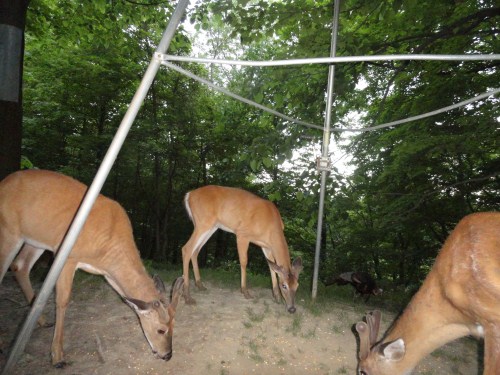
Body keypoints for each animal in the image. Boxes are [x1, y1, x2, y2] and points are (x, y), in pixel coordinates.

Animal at [0, 171, 184, 370]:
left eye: (175, 325)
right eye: (161, 330)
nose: (168, 355)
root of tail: (4, 182)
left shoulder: (107, 273)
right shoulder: (67, 256)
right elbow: (62, 301)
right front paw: (57, 357)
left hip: (35, 239)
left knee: (20, 266)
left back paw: (41, 321)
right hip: (8, 230)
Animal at [182, 186, 302, 314]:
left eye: (297, 285)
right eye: (284, 285)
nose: (292, 309)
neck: (271, 226)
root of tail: (189, 194)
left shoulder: (266, 246)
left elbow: (271, 267)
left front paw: (276, 296)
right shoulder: (242, 234)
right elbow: (244, 262)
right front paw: (245, 291)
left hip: (210, 226)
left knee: (195, 251)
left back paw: (200, 285)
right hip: (203, 222)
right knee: (186, 249)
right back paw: (187, 296)